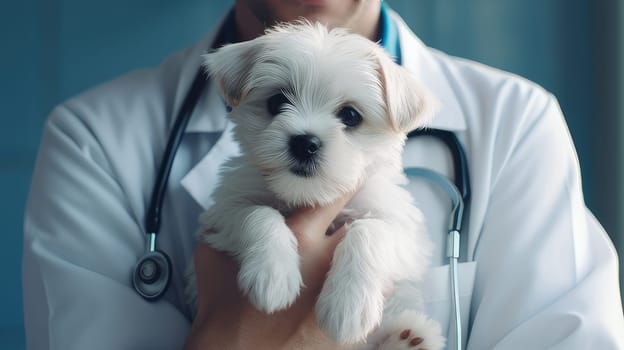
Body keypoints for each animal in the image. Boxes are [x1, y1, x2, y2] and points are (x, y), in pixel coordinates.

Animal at [193, 22, 446, 350]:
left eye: (350, 115)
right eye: (277, 102)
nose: (305, 143)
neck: (309, 196)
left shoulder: (404, 232)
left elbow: (370, 230)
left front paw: (348, 305)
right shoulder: (222, 212)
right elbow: (257, 214)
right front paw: (273, 275)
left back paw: (408, 338)